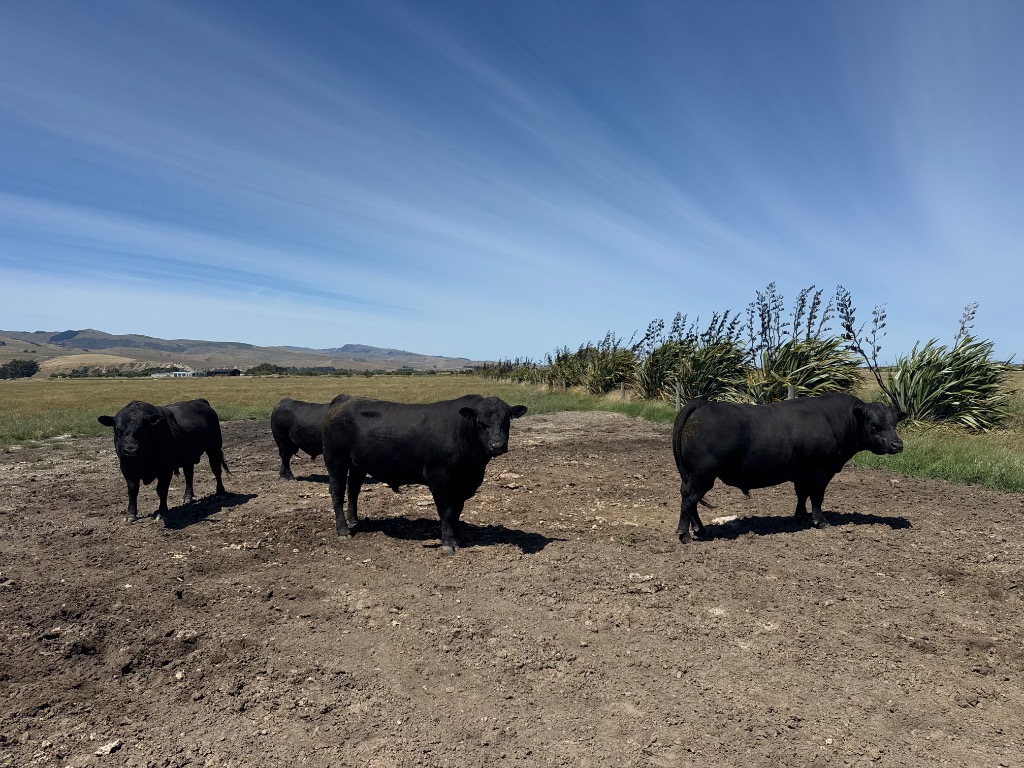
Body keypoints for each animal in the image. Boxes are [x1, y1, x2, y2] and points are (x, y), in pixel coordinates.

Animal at [98, 398, 229, 523]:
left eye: (143, 429)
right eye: (117, 429)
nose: (130, 450)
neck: (143, 460)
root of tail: (200, 401)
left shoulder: (165, 468)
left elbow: (161, 490)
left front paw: (162, 512)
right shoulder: (127, 469)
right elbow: (132, 491)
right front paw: (130, 515)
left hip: (214, 448)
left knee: (216, 470)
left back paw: (220, 492)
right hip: (188, 457)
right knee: (189, 475)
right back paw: (187, 497)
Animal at [321, 394, 528, 554]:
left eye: (506, 421)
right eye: (481, 423)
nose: (497, 445)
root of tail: (344, 399)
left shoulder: (461, 485)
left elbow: (457, 512)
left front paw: (458, 537)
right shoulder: (440, 481)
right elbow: (447, 512)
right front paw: (448, 542)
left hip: (358, 465)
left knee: (353, 489)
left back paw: (354, 520)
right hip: (335, 460)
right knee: (337, 492)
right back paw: (343, 530)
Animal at [672, 393, 906, 542]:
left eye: (894, 424)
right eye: (874, 425)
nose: (898, 445)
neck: (838, 421)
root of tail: (703, 404)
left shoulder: (801, 472)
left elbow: (801, 494)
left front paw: (800, 517)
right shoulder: (822, 471)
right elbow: (817, 497)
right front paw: (820, 521)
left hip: (692, 476)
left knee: (689, 500)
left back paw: (699, 529)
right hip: (703, 475)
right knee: (689, 500)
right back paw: (685, 535)